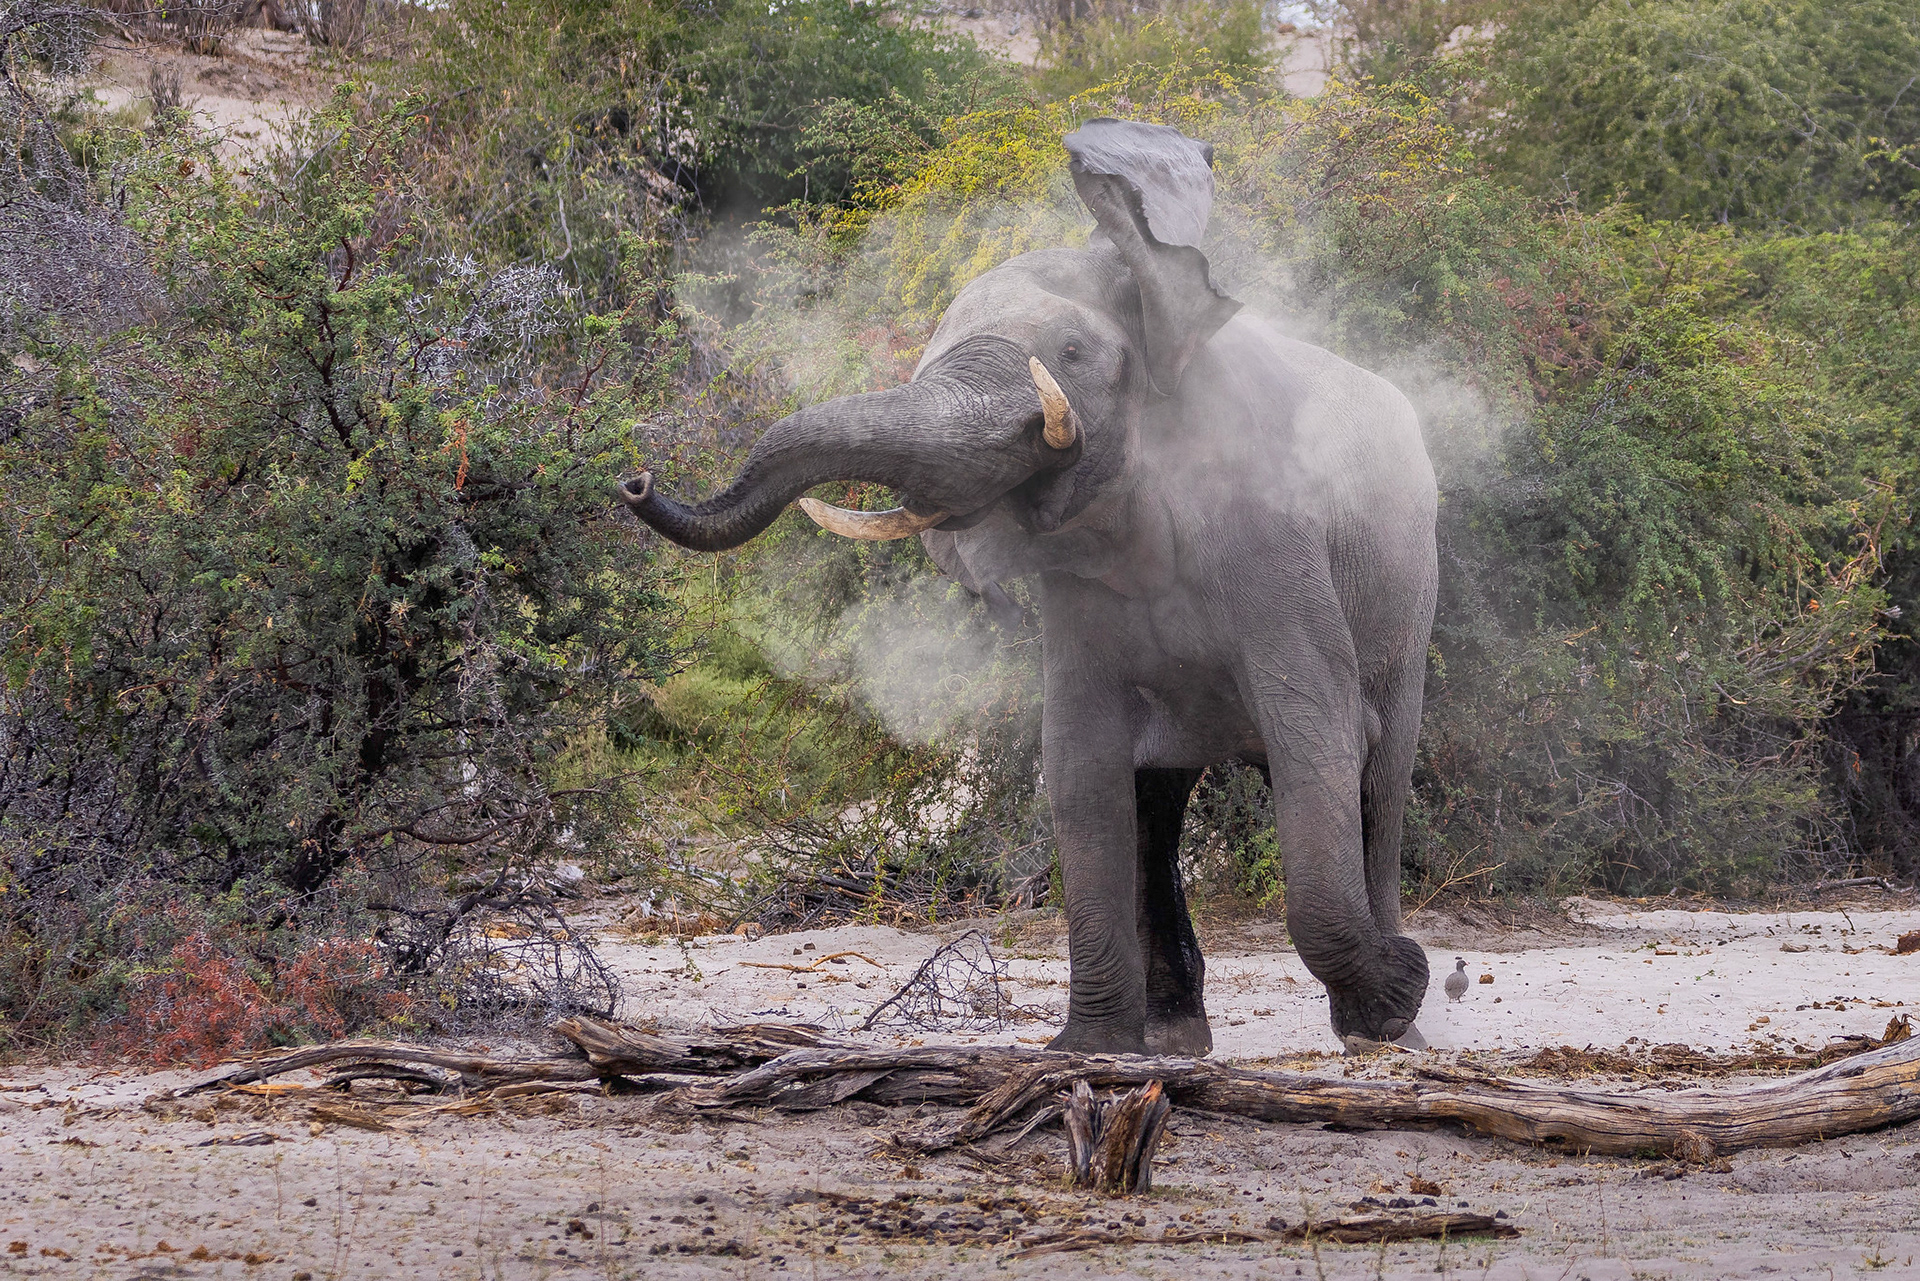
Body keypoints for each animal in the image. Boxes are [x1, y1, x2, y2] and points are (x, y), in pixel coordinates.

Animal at [617, 118, 1438, 1055]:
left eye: (1072, 354)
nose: (636, 482)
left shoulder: (1277, 544)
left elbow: (1317, 736)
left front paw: (1399, 990)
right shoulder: (1077, 592)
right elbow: (1079, 767)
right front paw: (1089, 1051)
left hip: (1408, 595)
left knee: (1379, 774)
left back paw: (1394, 1033)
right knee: (1157, 801)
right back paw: (1176, 1038)